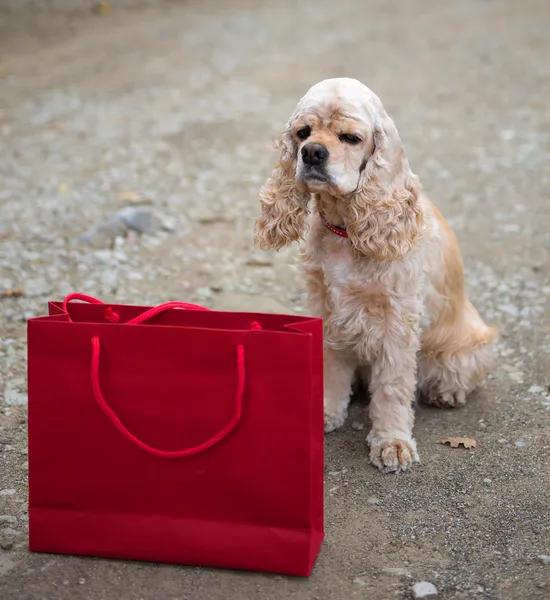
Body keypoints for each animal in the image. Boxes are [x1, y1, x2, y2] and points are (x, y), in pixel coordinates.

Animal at [256, 78, 498, 474]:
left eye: (351, 137)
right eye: (302, 133)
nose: (312, 153)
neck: (345, 228)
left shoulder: (396, 318)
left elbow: (392, 387)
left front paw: (392, 444)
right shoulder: (328, 307)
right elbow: (331, 366)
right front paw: (326, 411)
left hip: (466, 346)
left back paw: (446, 393)